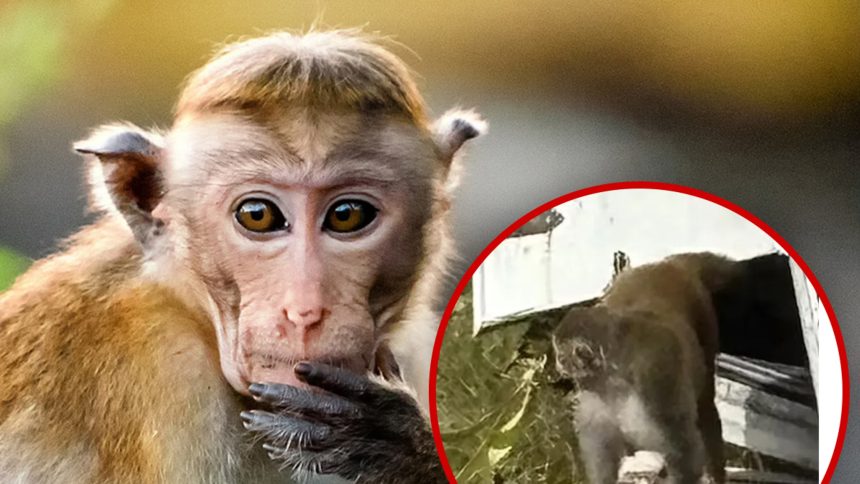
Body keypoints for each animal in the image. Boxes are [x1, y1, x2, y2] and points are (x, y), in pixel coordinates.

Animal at [552, 252, 741, 484]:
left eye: (561, 356)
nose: (558, 363)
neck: (614, 377)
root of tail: (668, 265)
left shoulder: (655, 375)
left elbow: (684, 449)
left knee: (704, 407)